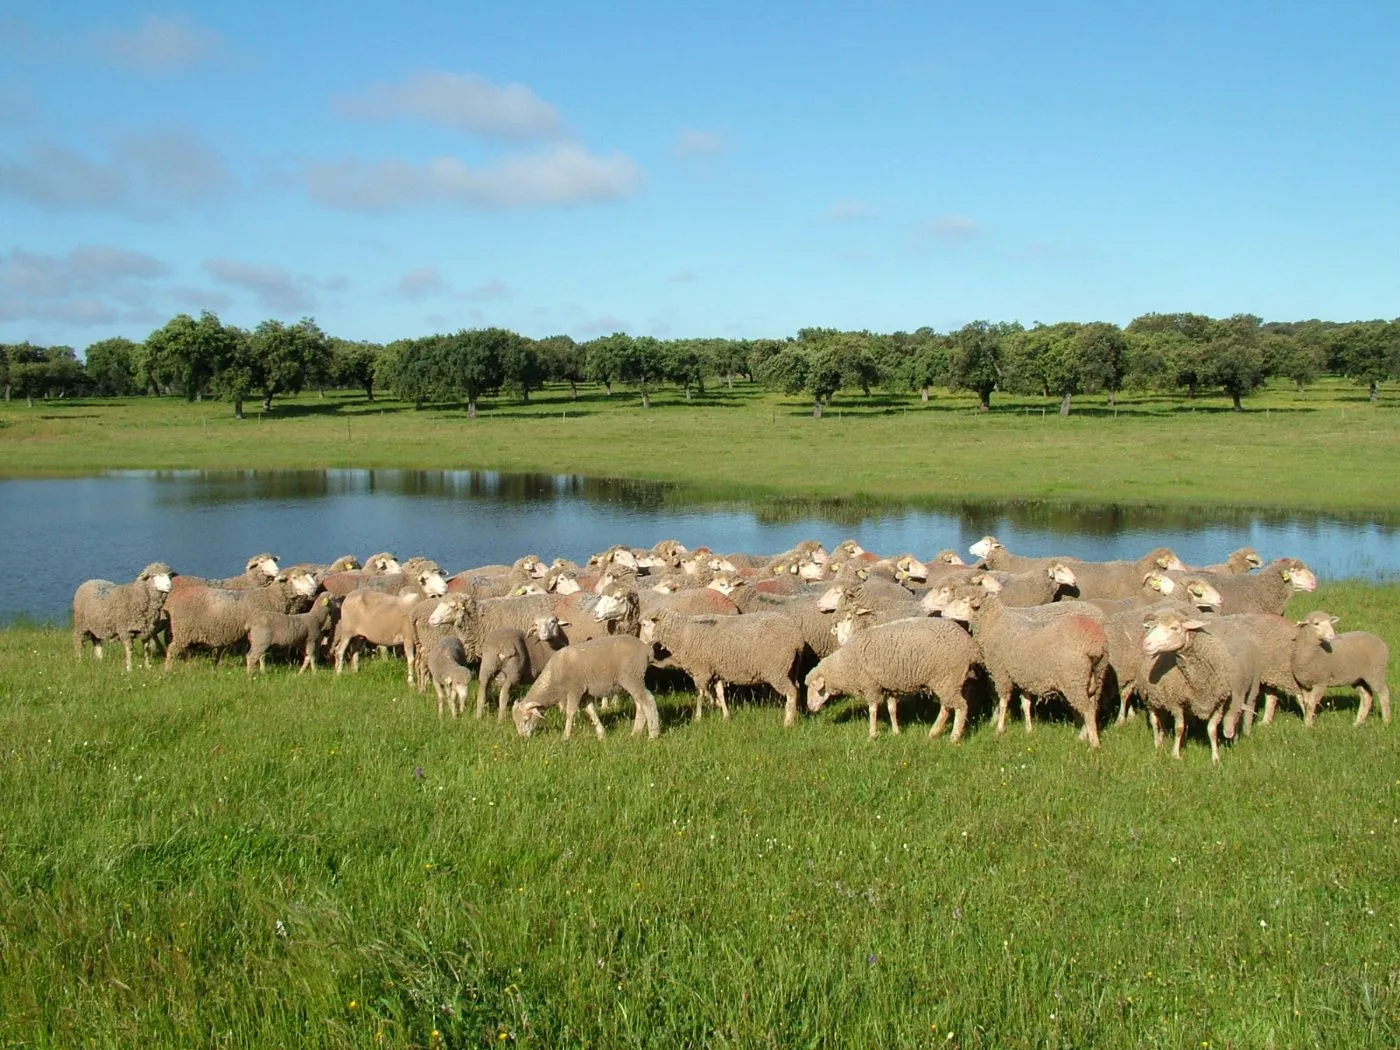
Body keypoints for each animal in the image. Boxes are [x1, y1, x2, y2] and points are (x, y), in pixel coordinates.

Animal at [512, 635, 660, 740]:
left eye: (526, 719)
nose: (522, 738)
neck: (554, 678)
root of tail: (646, 648)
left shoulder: (575, 689)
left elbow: (570, 712)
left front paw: (565, 736)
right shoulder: (585, 694)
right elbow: (590, 711)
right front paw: (601, 734)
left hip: (633, 677)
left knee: (648, 700)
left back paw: (653, 734)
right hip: (632, 680)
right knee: (640, 704)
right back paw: (635, 733)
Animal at [639, 608, 806, 725]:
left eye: (645, 625)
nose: (640, 642)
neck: (682, 633)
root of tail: (797, 639)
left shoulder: (701, 671)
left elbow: (700, 695)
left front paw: (698, 717)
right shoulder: (717, 671)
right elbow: (720, 693)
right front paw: (726, 715)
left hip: (777, 670)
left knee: (791, 692)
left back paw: (788, 722)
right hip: (791, 668)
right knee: (797, 688)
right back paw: (796, 714)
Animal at [806, 616, 980, 740]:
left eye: (814, 688)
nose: (809, 707)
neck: (846, 663)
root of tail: (971, 646)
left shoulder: (871, 685)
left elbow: (873, 710)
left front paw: (872, 734)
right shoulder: (889, 685)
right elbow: (892, 709)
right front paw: (896, 732)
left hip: (948, 677)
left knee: (961, 706)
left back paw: (954, 737)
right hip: (948, 680)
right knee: (946, 707)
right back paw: (934, 733)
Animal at [938, 587, 1108, 748]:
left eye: (964, 601)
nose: (943, 612)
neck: (993, 623)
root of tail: (1094, 643)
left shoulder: (1001, 673)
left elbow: (1003, 702)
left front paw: (999, 729)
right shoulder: (1024, 677)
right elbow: (1026, 704)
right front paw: (1029, 730)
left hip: (1074, 679)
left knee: (1087, 710)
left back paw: (1094, 744)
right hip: (1096, 677)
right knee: (1093, 707)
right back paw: (1083, 737)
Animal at [1138, 609, 1262, 763]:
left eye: (1174, 628)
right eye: (1155, 627)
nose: (1146, 644)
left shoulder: (1218, 703)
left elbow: (1212, 730)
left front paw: (1215, 758)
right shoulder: (1175, 701)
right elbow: (1179, 728)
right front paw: (1176, 754)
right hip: (1148, 697)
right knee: (1154, 721)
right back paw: (1157, 745)